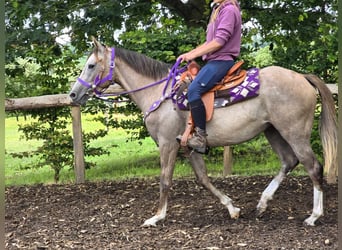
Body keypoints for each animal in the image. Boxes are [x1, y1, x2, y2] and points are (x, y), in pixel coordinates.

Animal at [69, 38, 336, 227]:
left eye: (91, 65)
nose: (73, 94)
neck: (161, 94)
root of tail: (302, 77)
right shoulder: (189, 148)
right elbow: (203, 179)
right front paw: (232, 208)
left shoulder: (167, 144)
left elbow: (165, 180)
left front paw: (157, 217)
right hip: (273, 132)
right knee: (289, 162)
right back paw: (262, 204)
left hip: (294, 133)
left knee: (313, 167)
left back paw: (314, 216)